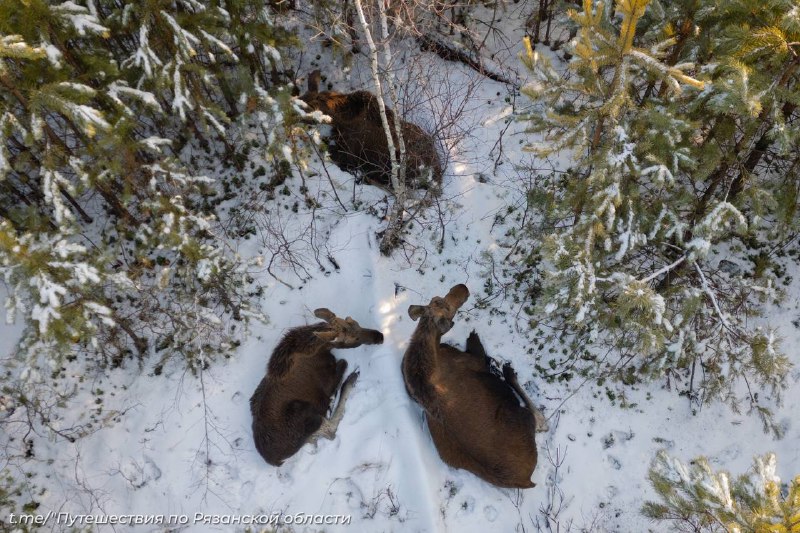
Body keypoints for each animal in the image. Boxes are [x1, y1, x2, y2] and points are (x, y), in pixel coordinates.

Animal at [252, 308, 386, 466]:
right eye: (354, 339)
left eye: (355, 322)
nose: (379, 336)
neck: (319, 351)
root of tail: (275, 460)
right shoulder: (326, 383)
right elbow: (343, 362)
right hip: (303, 412)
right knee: (331, 431)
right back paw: (349, 381)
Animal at [404, 284, 548, 488]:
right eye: (449, 309)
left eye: (437, 299)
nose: (462, 287)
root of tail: (525, 480)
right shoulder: (476, 360)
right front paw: (474, 337)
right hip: (518, 413)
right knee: (538, 418)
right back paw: (509, 372)